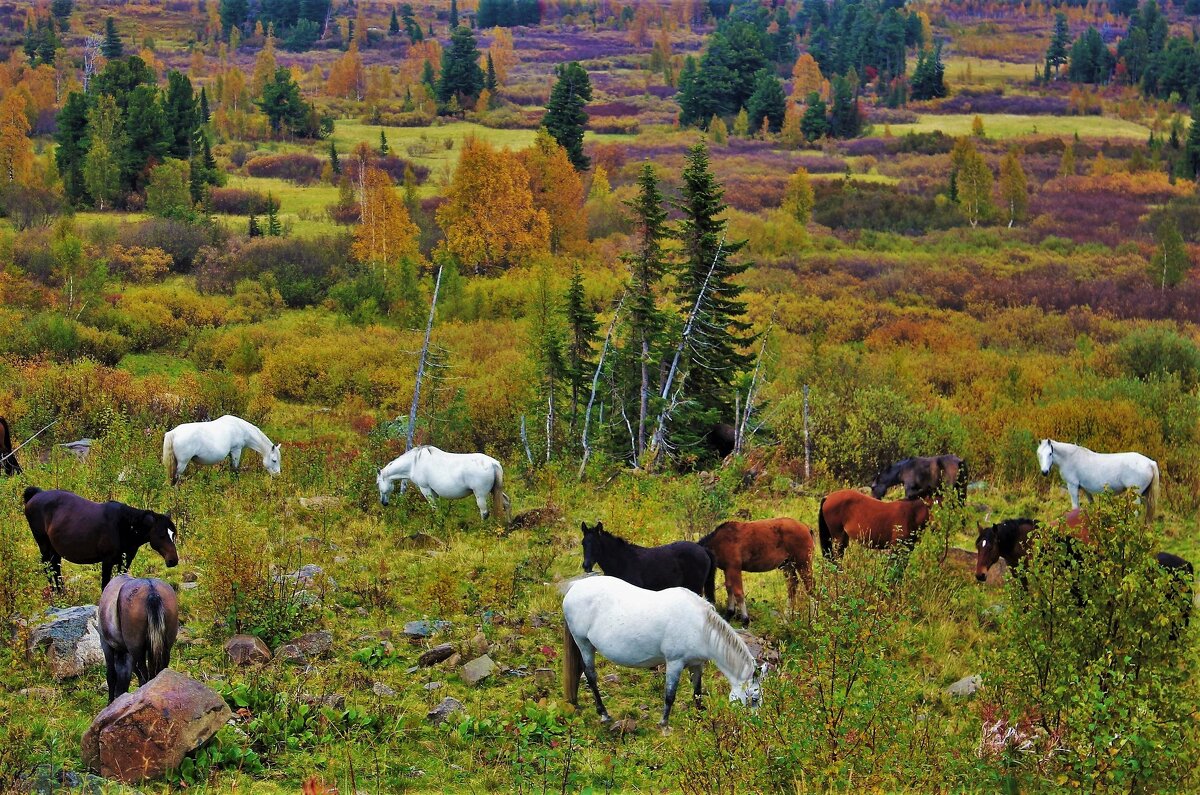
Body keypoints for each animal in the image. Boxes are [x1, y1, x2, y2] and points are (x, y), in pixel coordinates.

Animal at [24, 485, 180, 590]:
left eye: (174, 534)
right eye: (161, 535)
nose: (173, 560)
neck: (123, 526)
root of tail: (36, 494)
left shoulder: (125, 561)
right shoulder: (107, 561)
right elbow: (105, 584)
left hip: (55, 550)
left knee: (55, 567)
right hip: (44, 545)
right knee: (48, 567)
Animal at [98, 574, 178, 706]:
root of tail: (152, 590)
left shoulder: (106, 645)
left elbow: (111, 676)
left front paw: (110, 702)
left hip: (136, 647)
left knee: (144, 673)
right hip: (164, 645)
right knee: (158, 670)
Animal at [374, 449, 506, 523]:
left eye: (377, 483)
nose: (383, 502)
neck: (414, 463)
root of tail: (493, 463)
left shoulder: (426, 489)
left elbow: (435, 508)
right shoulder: (434, 491)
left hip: (480, 495)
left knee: (484, 512)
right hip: (495, 490)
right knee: (506, 502)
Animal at [559, 576, 763, 730]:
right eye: (754, 698)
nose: (755, 726)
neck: (699, 626)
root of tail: (575, 586)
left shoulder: (696, 664)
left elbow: (697, 692)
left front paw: (701, 716)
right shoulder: (675, 663)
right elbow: (670, 694)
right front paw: (664, 724)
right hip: (583, 643)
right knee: (590, 675)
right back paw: (604, 714)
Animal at [578, 525, 710, 600]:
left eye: (596, 544)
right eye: (583, 543)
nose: (586, 565)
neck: (621, 562)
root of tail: (703, 549)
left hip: (695, 587)